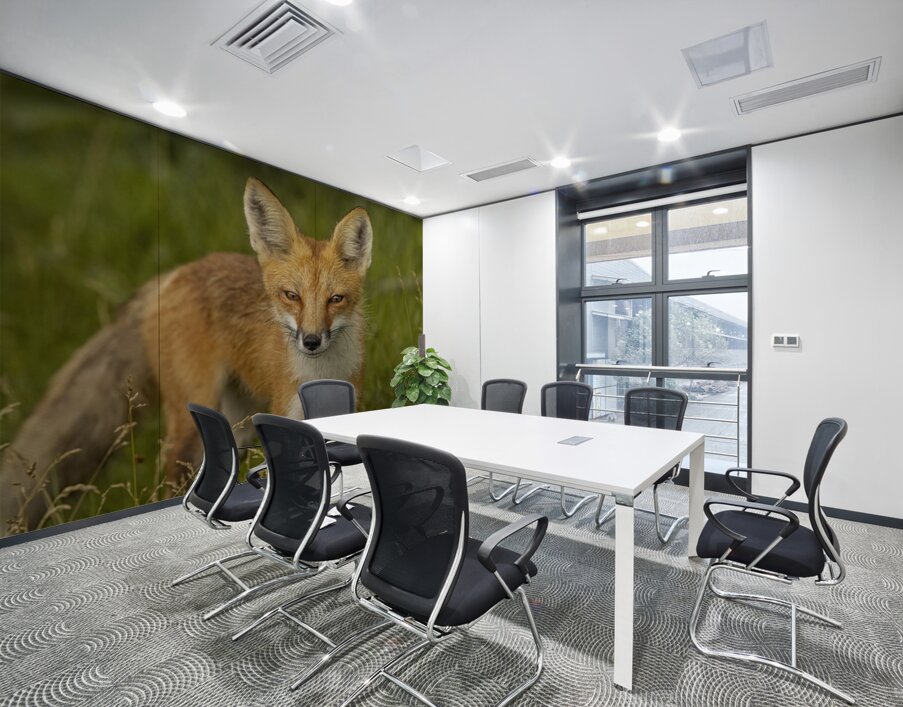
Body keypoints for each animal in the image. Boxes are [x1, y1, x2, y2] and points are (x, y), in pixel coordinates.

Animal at [1, 177, 373, 535]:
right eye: (292, 296)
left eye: (335, 299)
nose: (311, 341)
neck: (320, 377)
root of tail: (173, 274)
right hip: (190, 423)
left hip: (236, 422)